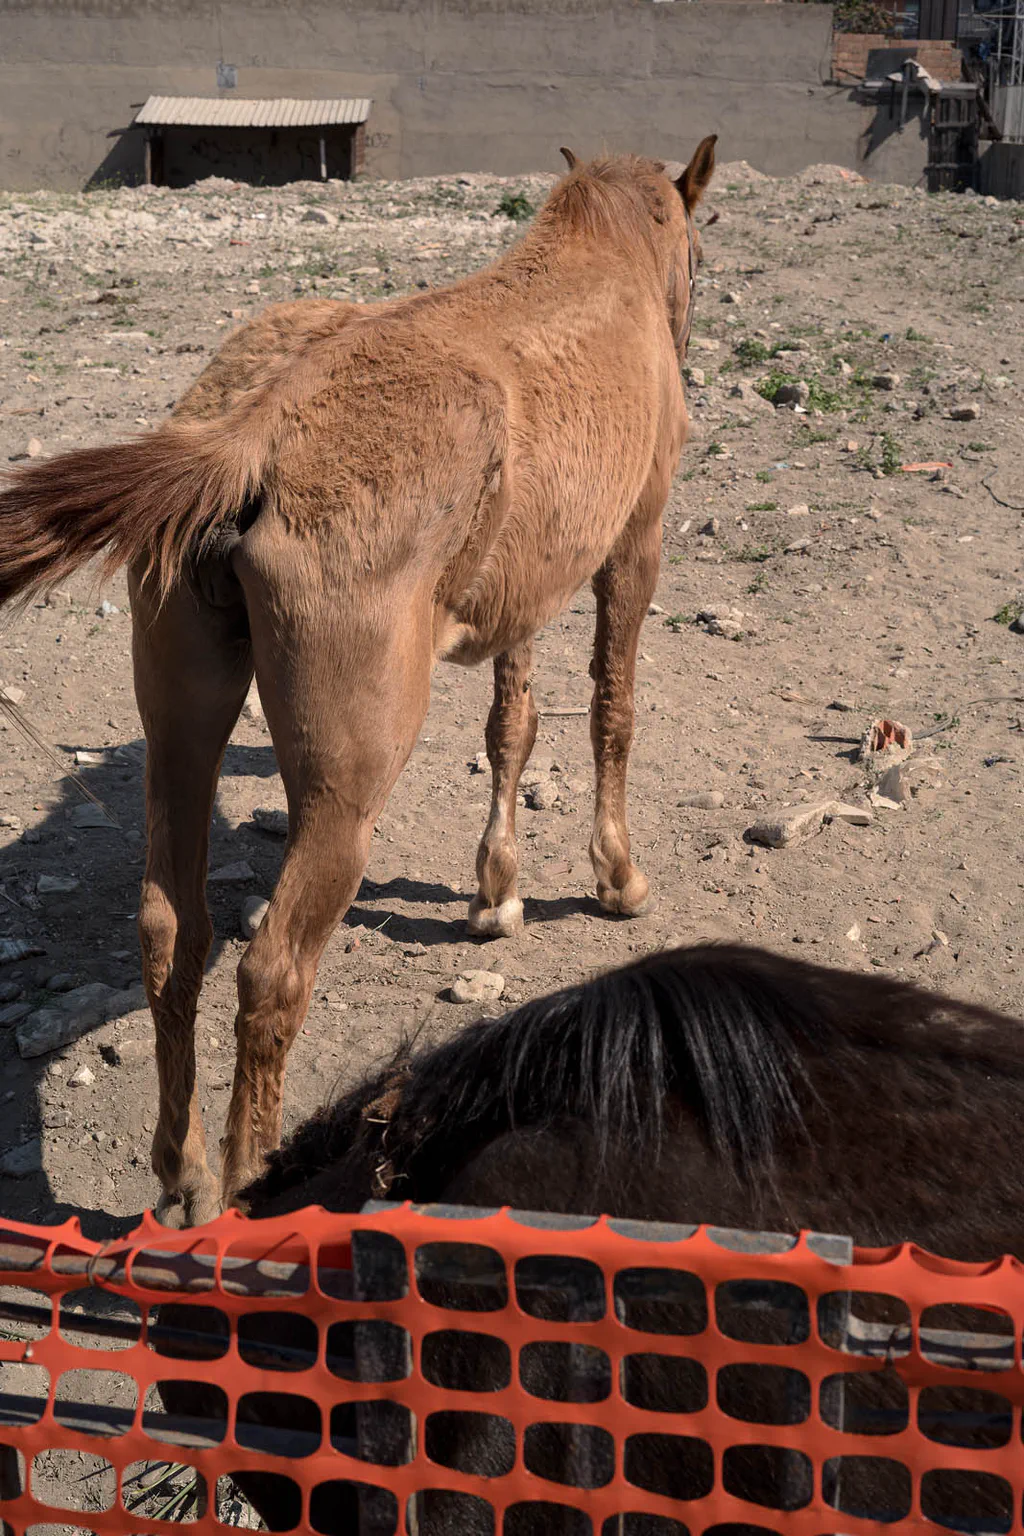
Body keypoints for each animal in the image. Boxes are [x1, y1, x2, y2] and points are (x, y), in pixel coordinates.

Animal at [0, 137, 716, 1224]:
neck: (606, 265)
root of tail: (250, 435)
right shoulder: (633, 543)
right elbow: (611, 711)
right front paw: (615, 876)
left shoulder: (522, 590)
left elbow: (513, 725)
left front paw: (496, 893)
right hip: (346, 794)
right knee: (272, 973)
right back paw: (248, 1188)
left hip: (181, 731)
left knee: (172, 933)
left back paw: (185, 1173)